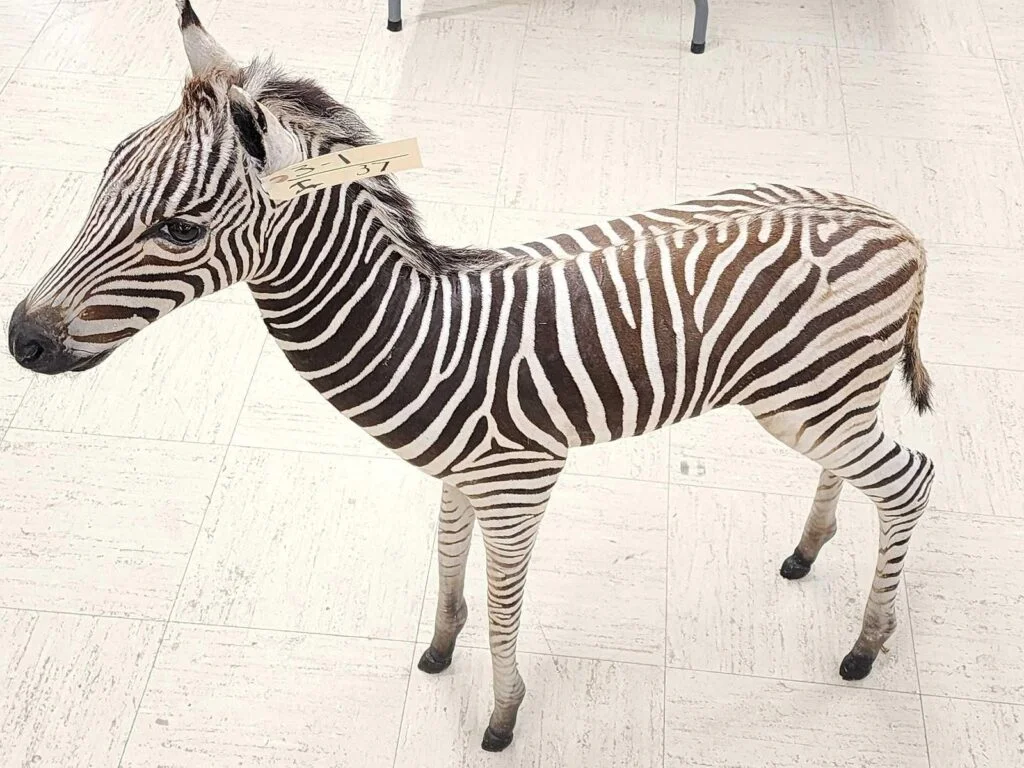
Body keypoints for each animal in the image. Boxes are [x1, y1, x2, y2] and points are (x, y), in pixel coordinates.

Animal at [7, 1, 935, 752]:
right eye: (104, 175)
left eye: (179, 228)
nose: (21, 341)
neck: (428, 332)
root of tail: (897, 225)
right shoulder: (461, 474)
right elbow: (448, 556)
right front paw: (439, 647)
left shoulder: (522, 485)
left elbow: (502, 604)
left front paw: (501, 715)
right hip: (818, 401)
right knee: (855, 470)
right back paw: (809, 549)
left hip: (813, 396)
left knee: (912, 482)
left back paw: (866, 644)